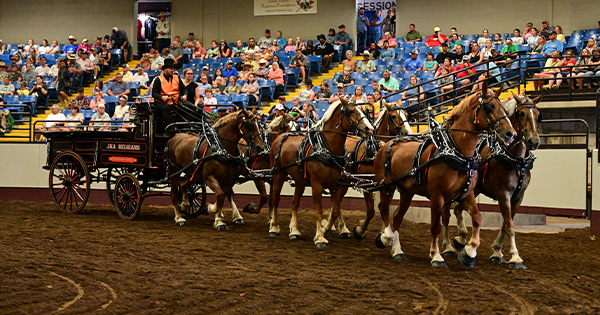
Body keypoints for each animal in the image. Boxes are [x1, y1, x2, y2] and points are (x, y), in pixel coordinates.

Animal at [268, 100, 372, 248]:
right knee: (275, 199)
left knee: (295, 203)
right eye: (351, 111)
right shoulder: (317, 185)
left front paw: (324, 229)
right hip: (278, 175)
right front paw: (320, 238)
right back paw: (274, 227)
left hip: (300, 181)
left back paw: (294, 231)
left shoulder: (337, 184)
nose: (369, 128)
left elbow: (335, 210)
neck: (327, 149)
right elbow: (318, 211)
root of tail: (281, 137)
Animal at [370, 83, 516, 266]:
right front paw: (436, 255)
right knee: (383, 209)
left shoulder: (467, 193)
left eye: (503, 107)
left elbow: (477, 218)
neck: (457, 152)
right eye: (490, 106)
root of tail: (386, 144)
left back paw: (397, 250)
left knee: (397, 217)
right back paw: (386, 237)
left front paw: (469, 252)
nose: (511, 133)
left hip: (406, 191)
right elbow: (435, 226)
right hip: (386, 186)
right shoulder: (437, 196)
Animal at [440, 92, 544, 270]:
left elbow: (505, 224)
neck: (517, 160)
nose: (534, 141)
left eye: (537, 115)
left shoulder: (518, 197)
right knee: (446, 215)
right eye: (521, 113)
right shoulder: (504, 193)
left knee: (458, 209)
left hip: (473, 190)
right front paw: (515, 257)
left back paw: (461, 238)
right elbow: (510, 226)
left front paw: (497, 252)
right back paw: (448, 246)